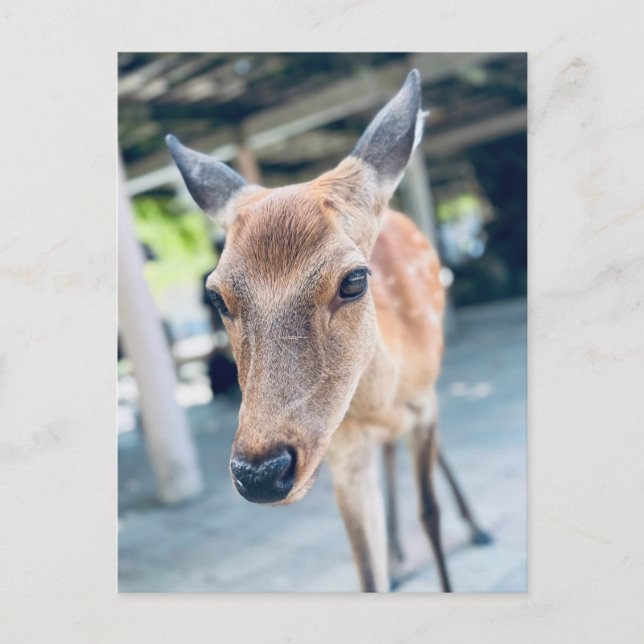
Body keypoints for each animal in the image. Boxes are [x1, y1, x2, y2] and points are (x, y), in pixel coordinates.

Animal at [166, 69, 491, 592]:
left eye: (354, 279)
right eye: (216, 296)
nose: (260, 473)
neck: (382, 400)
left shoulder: (424, 403)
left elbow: (430, 513)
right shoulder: (342, 446)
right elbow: (366, 568)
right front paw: (387, 564)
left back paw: (476, 529)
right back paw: (399, 557)